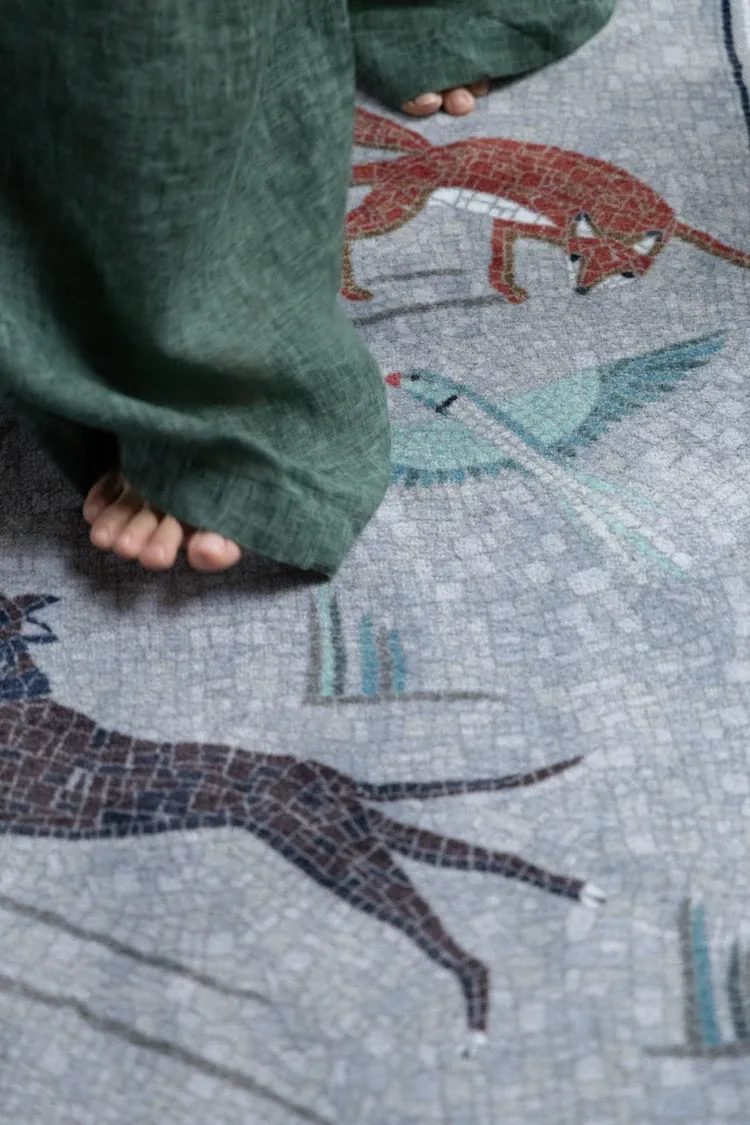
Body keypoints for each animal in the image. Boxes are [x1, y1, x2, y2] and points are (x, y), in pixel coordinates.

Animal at [0, 592, 603, 1036]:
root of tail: (331, 774)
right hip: (352, 838)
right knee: (481, 857)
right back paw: (577, 893)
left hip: (337, 853)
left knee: (441, 926)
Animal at [344, 108, 750, 303]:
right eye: (575, 256)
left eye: (626, 274)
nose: (581, 291)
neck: (623, 216)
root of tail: (428, 151)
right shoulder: (537, 227)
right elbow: (501, 259)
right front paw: (510, 293)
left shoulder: (677, 226)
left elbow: (717, 245)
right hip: (397, 204)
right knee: (346, 227)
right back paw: (349, 290)